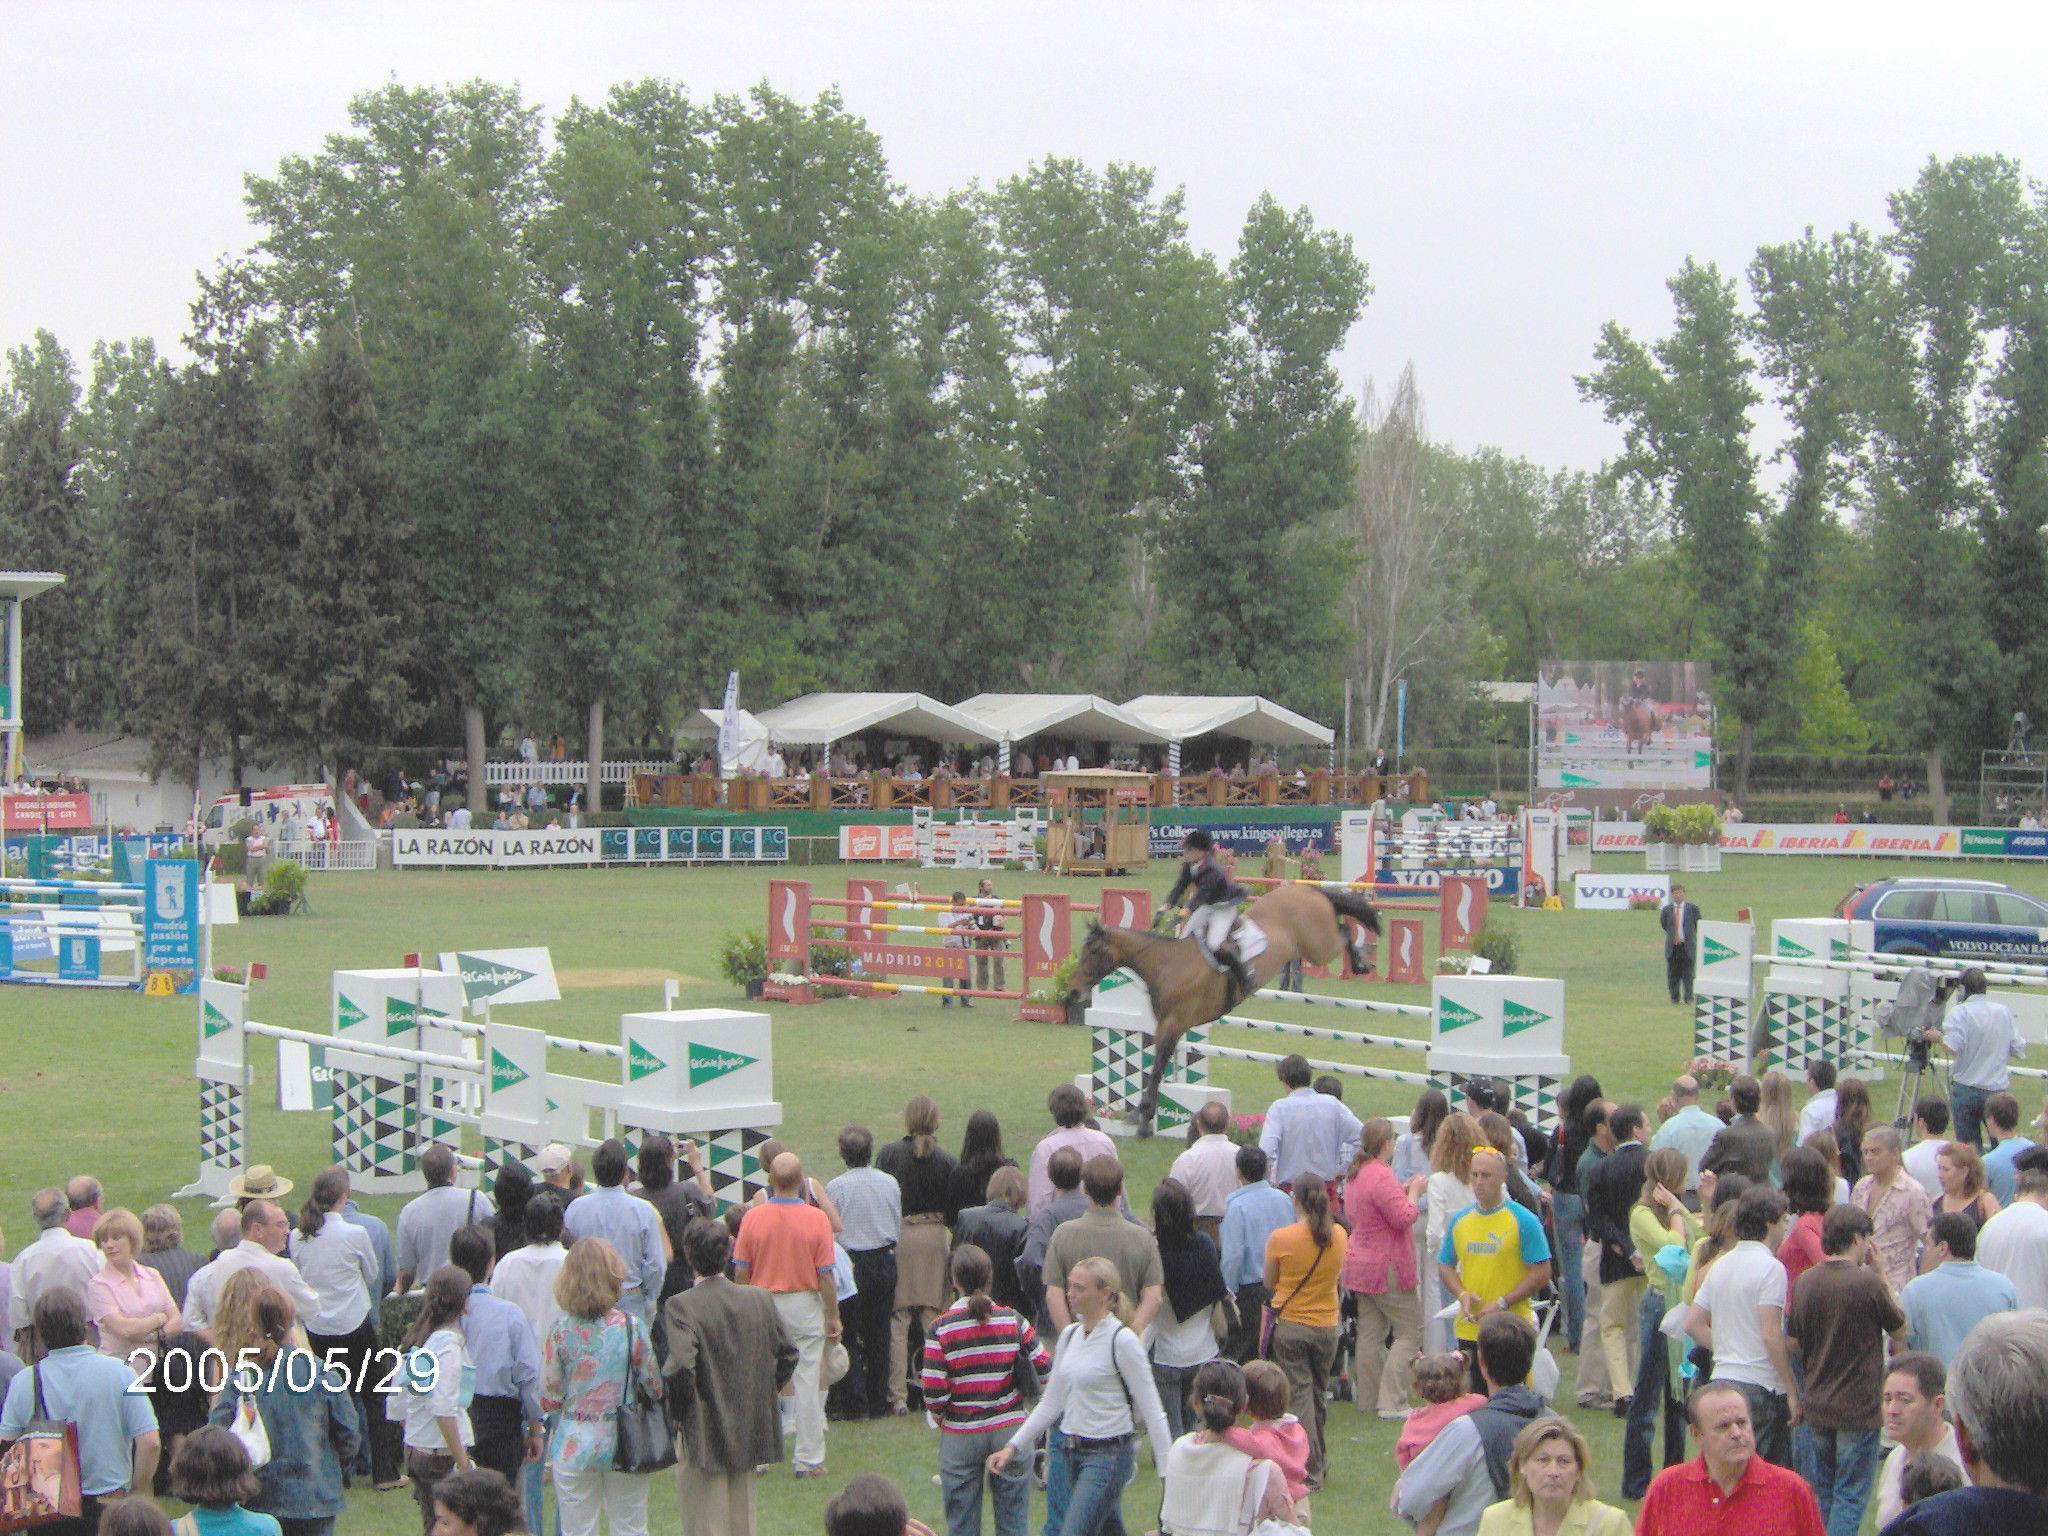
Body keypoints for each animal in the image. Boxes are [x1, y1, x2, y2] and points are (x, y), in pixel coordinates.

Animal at [1064, 884, 1384, 1138]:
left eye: (1094, 951)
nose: (1074, 992)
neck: (1166, 966)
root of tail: (1307, 889)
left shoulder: (1174, 1023)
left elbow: (1155, 1070)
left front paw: (1142, 1119)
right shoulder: (1165, 1025)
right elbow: (1156, 1068)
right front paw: (1140, 1116)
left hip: (1319, 946)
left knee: (1343, 932)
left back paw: (1362, 961)